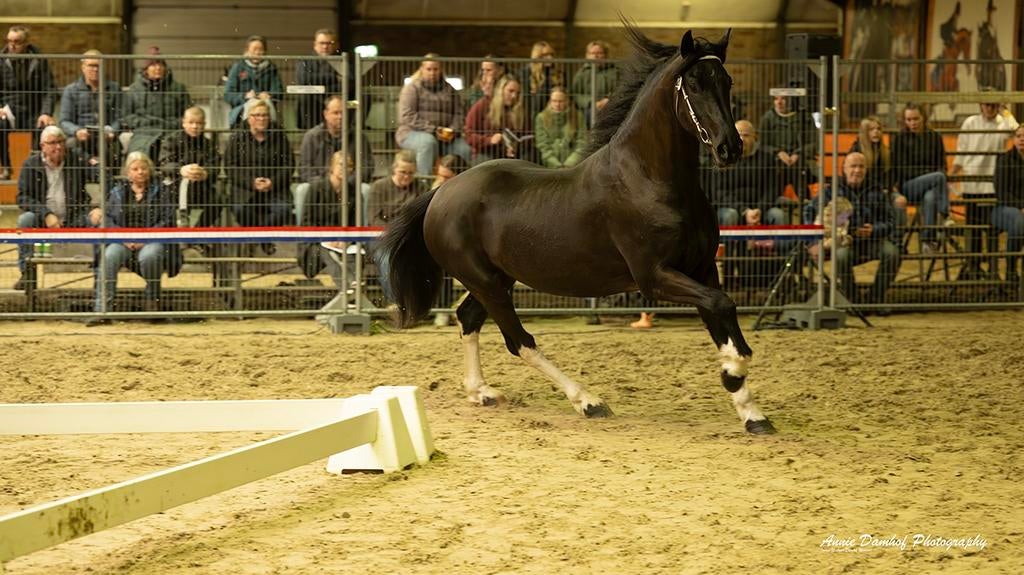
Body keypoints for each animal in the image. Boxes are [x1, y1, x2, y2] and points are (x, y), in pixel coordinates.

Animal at [374, 26, 777, 435]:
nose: (730, 148)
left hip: (496, 279)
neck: (650, 180)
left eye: (726, 81)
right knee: (519, 340)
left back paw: (482, 392)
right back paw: (588, 401)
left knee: (469, 318)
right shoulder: (654, 277)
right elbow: (722, 305)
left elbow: (720, 314)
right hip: (485, 281)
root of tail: (440, 193)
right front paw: (733, 371)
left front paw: (752, 414)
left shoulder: (703, 268)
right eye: (694, 83)